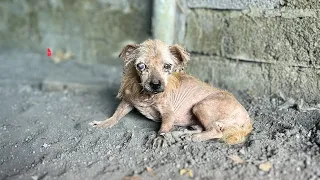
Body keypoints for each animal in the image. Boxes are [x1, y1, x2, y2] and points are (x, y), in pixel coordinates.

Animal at [90, 39, 252, 145]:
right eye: (141, 66)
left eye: (167, 66)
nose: (155, 84)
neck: (147, 96)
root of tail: (247, 119)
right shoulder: (128, 102)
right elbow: (116, 115)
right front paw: (105, 123)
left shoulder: (169, 114)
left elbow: (163, 128)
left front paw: (159, 139)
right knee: (203, 128)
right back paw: (182, 133)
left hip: (200, 106)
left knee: (216, 131)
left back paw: (191, 137)